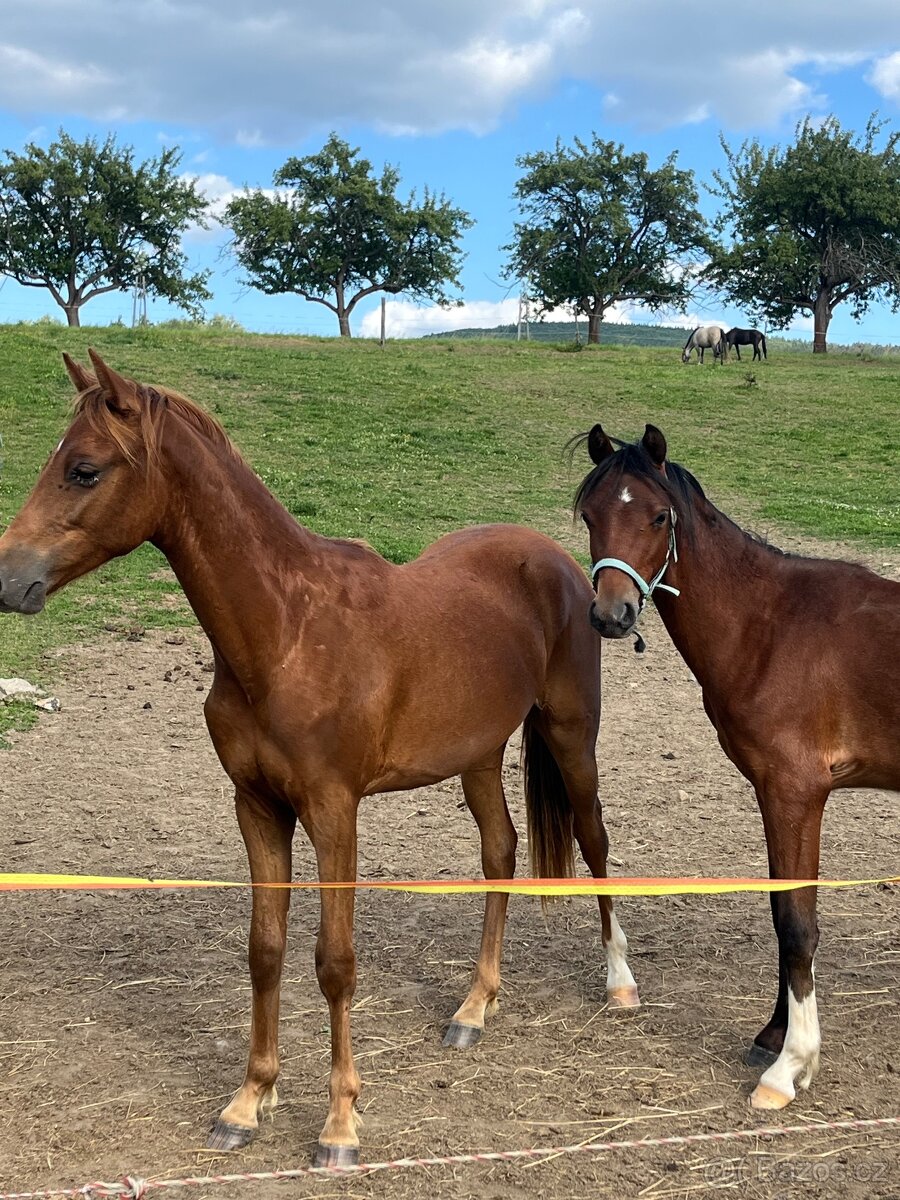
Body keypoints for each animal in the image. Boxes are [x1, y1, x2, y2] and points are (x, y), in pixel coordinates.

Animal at [0, 351, 639, 1166]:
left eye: (84, 469)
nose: (6, 578)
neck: (287, 632)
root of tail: (559, 562)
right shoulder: (258, 807)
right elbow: (265, 949)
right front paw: (248, 1103)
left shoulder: (335, 811)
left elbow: (335, 963)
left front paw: (339, 1123)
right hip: (478, 755)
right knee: (500, 850)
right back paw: (473, 1007)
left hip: (569, 734)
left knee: (594, 837)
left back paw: (619, 983)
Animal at [573, 421, 899, 1112]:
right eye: (590, 516)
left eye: (659, 516)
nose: (612, 614)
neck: (770, 625)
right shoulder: (773, 796)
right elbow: (782, 916)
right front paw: (773, 1036)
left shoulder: (796, 793)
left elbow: (798, 924)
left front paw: (788, 1068)